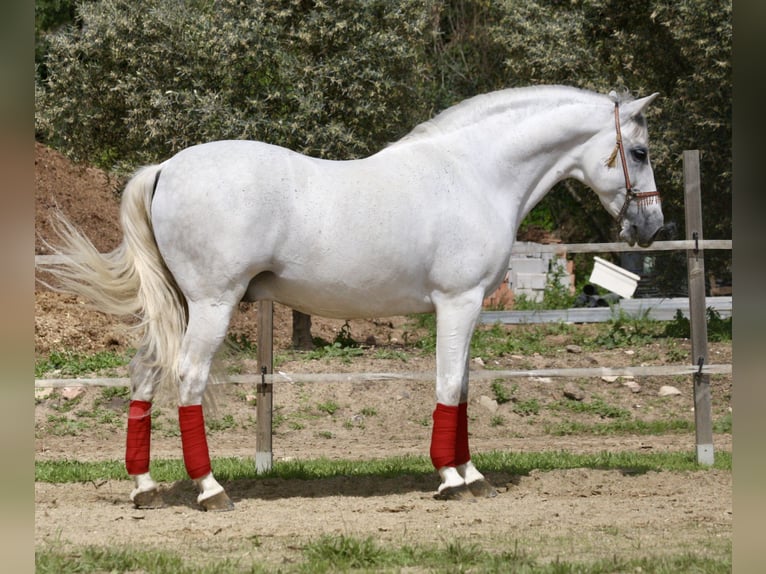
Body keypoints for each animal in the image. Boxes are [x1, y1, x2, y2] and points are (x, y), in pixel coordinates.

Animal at [43, 86, 664, 512]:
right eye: (637, 151)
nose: (653, 226)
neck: (474, 174)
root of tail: (166, 168)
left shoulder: (467, 309)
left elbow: (463, 388)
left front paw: (472, 475)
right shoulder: (457, 303)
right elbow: (447, 386)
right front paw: (451, 478)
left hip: (177, 307)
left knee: (145, 372)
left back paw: (144, 487)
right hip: (213, 305)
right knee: (187, 377)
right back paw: (210, 489)